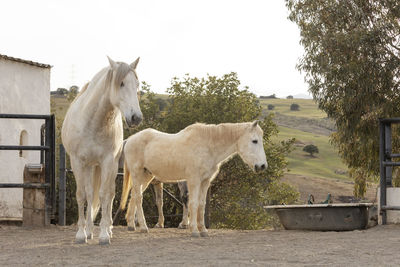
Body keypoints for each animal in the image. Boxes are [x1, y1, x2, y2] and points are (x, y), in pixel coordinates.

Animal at [61, 56, 143, 245]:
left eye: (137, 84)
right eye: (121, 83)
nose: (136, 118)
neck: (92, 122)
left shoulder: (108, 161)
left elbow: (105, 195)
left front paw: (104, 234)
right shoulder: (77, 162)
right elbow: (82, 195)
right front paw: (81, 234)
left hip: (107, 167)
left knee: (110, 194)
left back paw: (108, 229)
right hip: (91, 166)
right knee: (91, 195)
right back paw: (90, 230)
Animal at [120, 122, 268, 238]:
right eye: (254, 141)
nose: (262, 166)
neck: (207, 146)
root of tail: (130, 139)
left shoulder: (205, 182)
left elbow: (201, 205)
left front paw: (203, 230)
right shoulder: (194, 181)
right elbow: (193, 203)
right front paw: (194, 230)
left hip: (147, 177)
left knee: (134, 196)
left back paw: (131, 224)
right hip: (137, 174)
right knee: (138, 198)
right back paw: (144, 227)